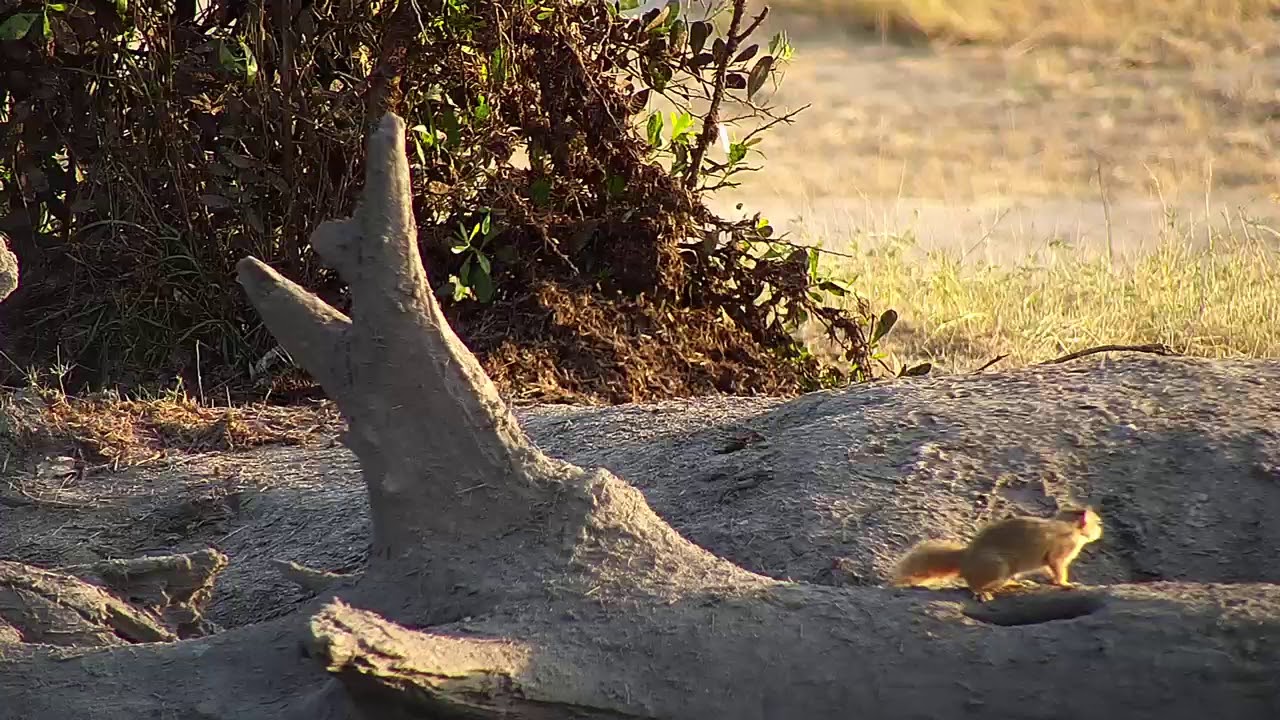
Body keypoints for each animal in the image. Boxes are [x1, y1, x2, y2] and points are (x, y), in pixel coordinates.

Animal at [890, 507, 1103, 601]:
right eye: (1097, 522)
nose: (1101, 530)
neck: (1069, 526)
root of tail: (965, 560)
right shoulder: (1060, 553)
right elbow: (1058, 569)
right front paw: (1065, 583)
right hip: (998, 567)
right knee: (973, 586)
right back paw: (984, 593)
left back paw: (1015, 584)